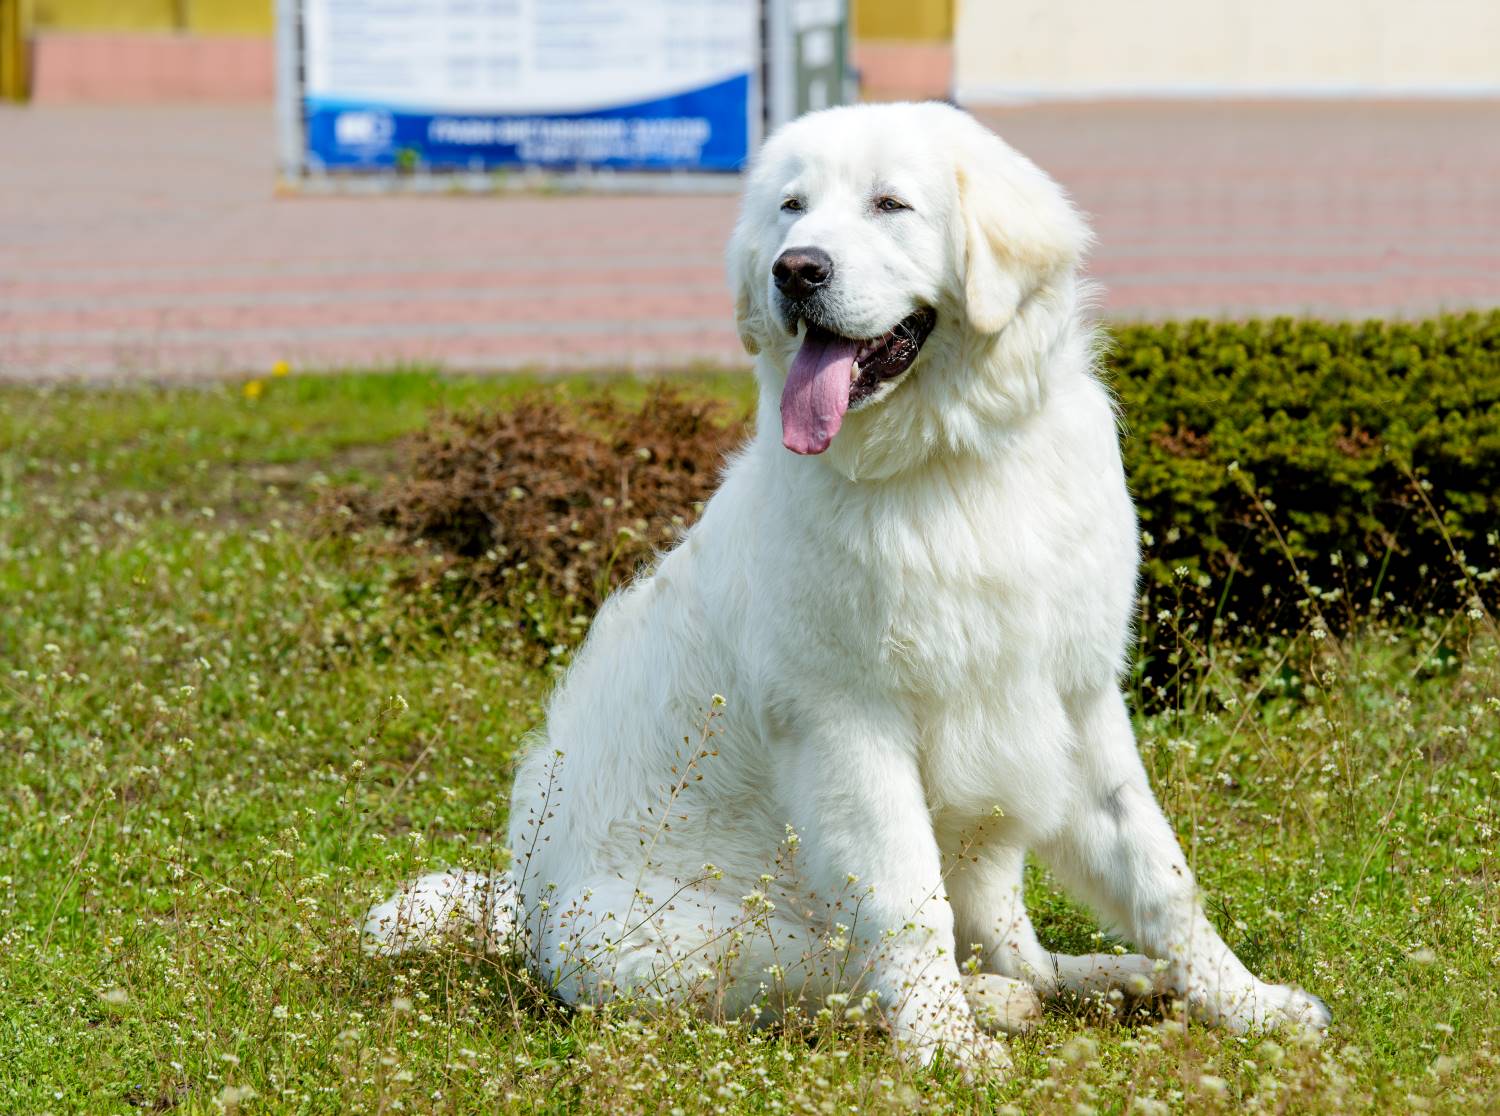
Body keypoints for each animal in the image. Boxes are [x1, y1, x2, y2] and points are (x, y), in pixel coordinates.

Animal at [369, 102, 1332, 1074]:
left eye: (889, 205)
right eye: (791, 208)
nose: (795, 269)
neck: (948, 462)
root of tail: (522, 909)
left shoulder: (1076, 702)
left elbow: (1159, 872)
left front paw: (1247, 1003)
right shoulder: (850, 729)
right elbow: (906, 906)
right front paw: (947, 1045)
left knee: (1013, 945)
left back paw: (1113, 978)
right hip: (706, 940)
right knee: (845, 980)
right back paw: (991, 1005)